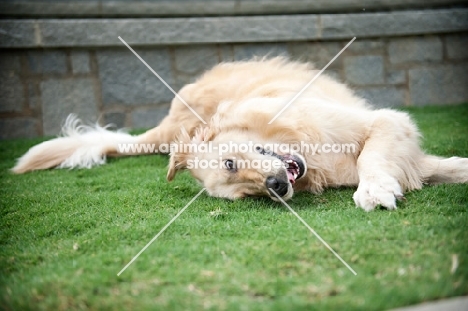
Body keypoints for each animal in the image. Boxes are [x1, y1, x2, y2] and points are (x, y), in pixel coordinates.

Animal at [11, 57, 468, 212]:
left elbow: (376, 157)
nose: (277, 186)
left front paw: (374, 191)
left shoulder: (384, 122)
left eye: (231, 162)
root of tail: (173, 125)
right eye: (248, 195)